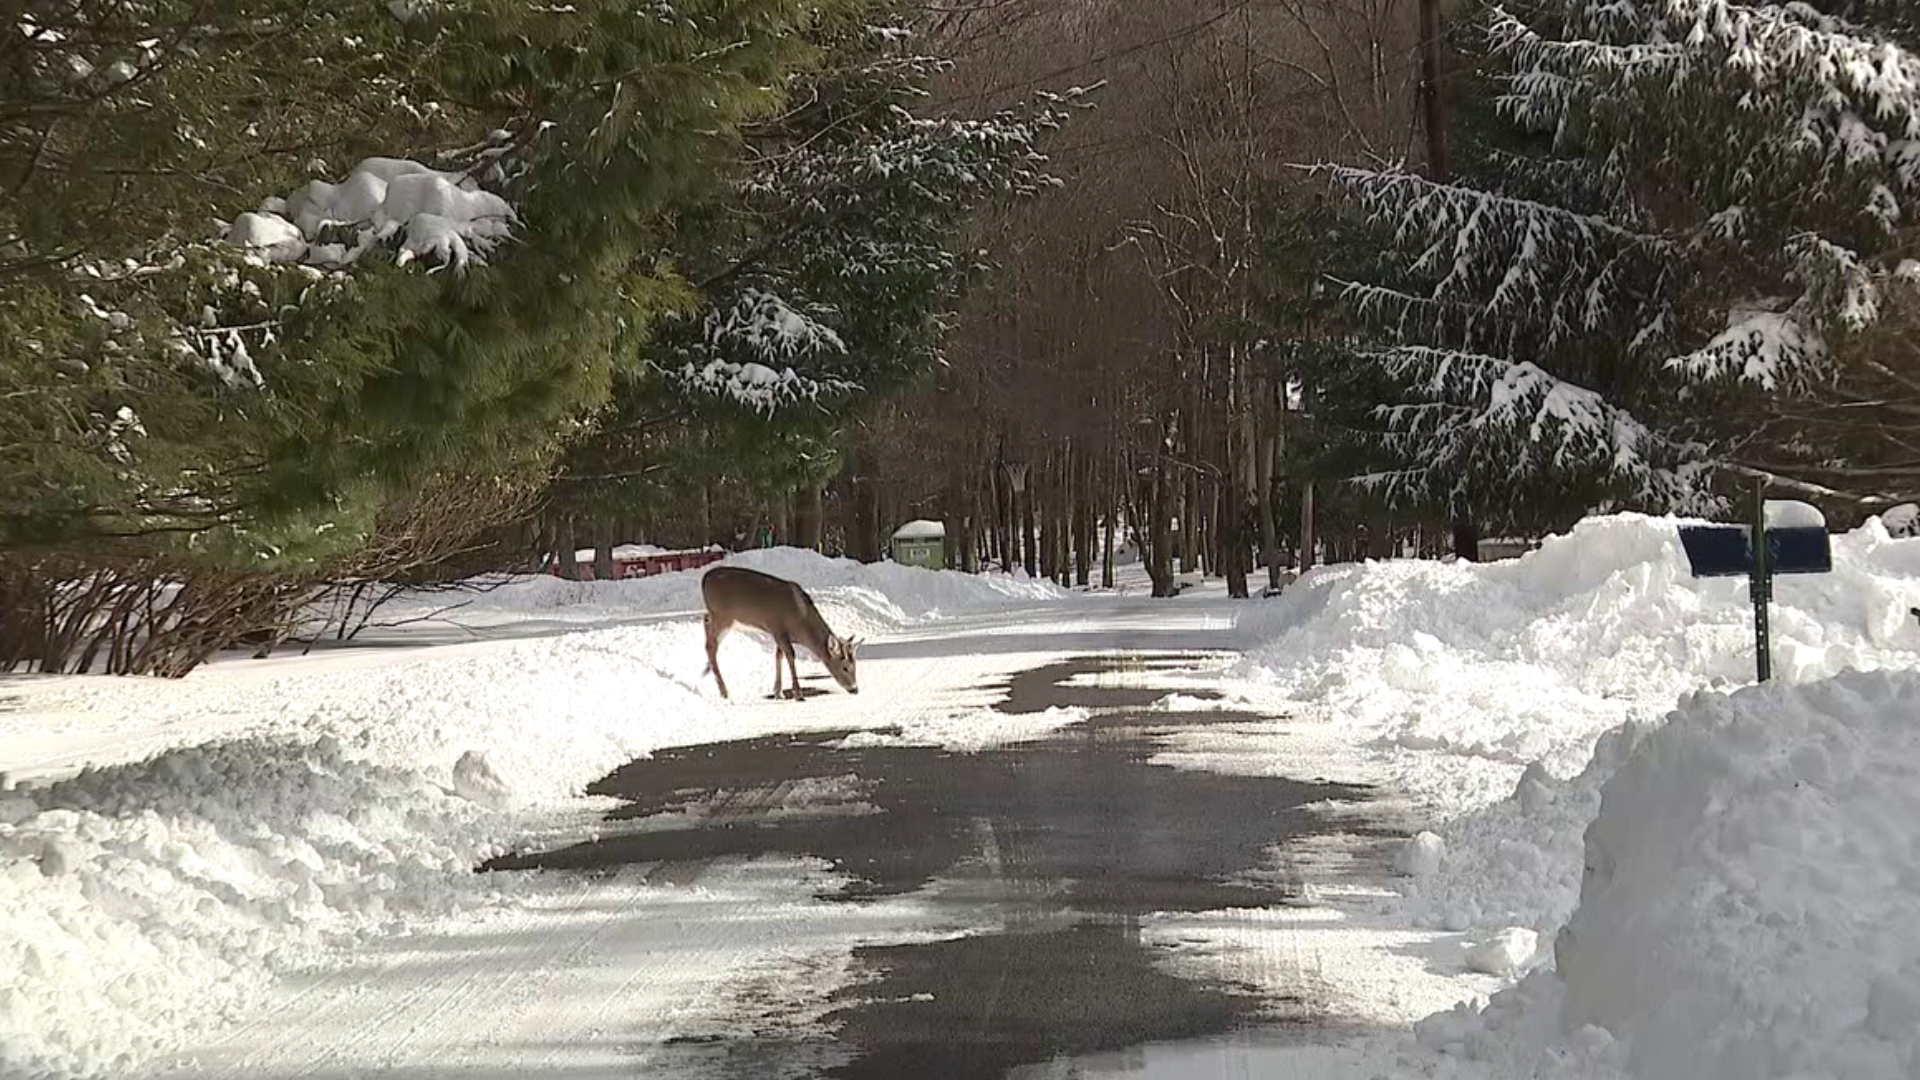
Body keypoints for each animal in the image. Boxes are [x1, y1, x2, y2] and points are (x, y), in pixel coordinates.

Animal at [702, 564, 860, 699]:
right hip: (722, 616)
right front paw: (797, 694)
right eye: (845, 667)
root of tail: (704, 579)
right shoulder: (778, 629)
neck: (801, 623)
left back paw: (707, 673)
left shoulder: (780, 634)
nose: (855, 689)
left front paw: (778, 692)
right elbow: (790, 655)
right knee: (710, 646)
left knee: (706, 626)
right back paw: (724, 691)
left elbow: (779, 656)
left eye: (855, 665)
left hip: (718, 616)